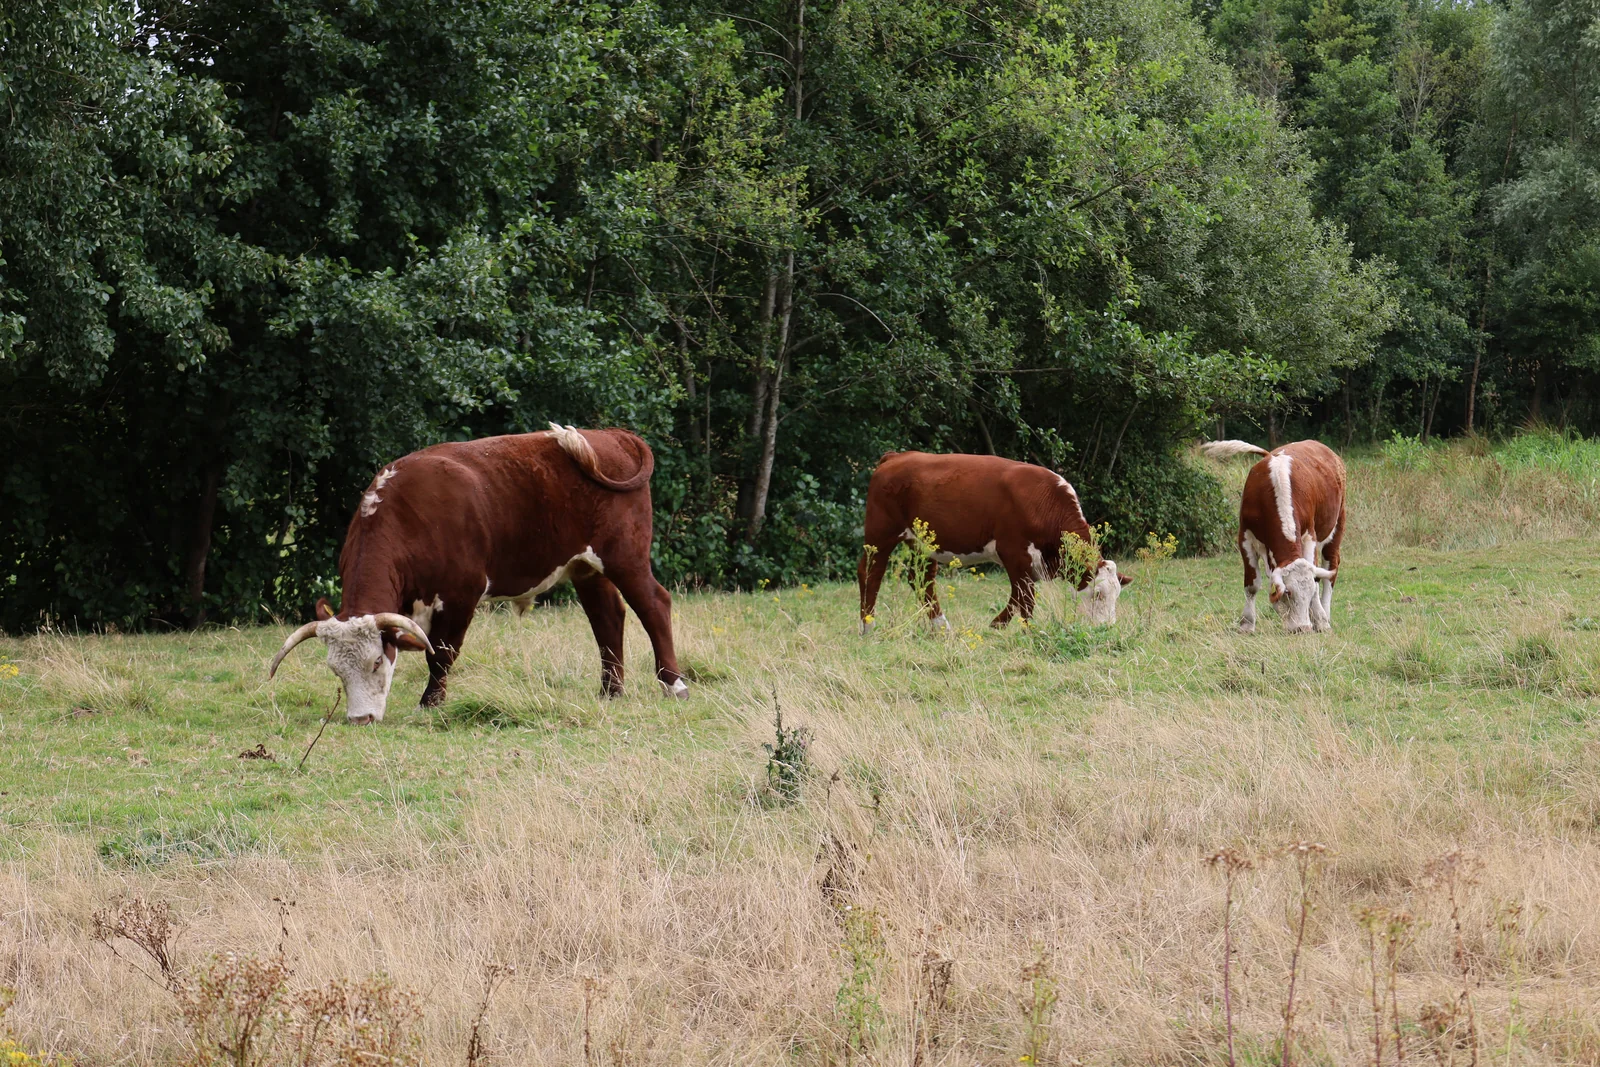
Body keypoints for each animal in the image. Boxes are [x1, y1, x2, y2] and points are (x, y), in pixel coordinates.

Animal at [268, 424, 686, 723]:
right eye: (335, 669)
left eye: (375, 661)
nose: (360, 718)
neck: (406, 516)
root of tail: (612, 435)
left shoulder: (460, 595)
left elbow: (441, 653)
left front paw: (430, 704)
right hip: (586, 567)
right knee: (608, 618)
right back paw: (610, 691)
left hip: (625, 557)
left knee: (654, 604)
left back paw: (673, 683)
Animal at [857, 451, 1130, 632]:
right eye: (1098, 594)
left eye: (1117, 595)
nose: (1106, 628)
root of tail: (896, 456)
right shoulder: (1013, 551)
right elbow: (1025, 595)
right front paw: (1027, 630)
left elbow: (1019, 595)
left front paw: (997, 625)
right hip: (880, 533)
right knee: (870, 573)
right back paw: (868, 627)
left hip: (922, 543)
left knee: (922, 579)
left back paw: (941, 628)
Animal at [1199, 439, 1346, 635]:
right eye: (1288, 592)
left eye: (1306, 594)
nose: (1303, 628)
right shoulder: (1244, 537)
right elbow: (1252, 584)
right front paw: (1247, 624)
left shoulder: (1310, 536)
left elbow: (1315, 581)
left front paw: (1320, 619)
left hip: (1337, 523)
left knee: (1330, 568)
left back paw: (1325, 616)